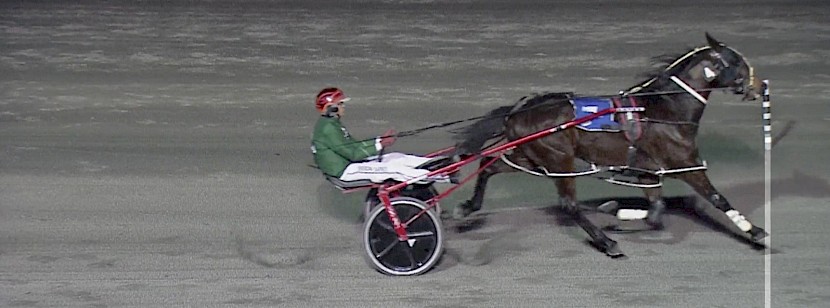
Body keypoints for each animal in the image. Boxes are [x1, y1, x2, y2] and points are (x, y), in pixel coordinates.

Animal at [452, 32, 772, 256]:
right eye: (737, 62)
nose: (759, 86)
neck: (665, 110)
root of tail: (520, 109)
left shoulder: (647, 171)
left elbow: (656, 212)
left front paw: (614, 210)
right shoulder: (685, 164)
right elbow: (717, 198)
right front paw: (756, 232)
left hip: (529, 157)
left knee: (488, 166)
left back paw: (467, 207)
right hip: (559, 160)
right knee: (569, 204)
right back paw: (607, 243)